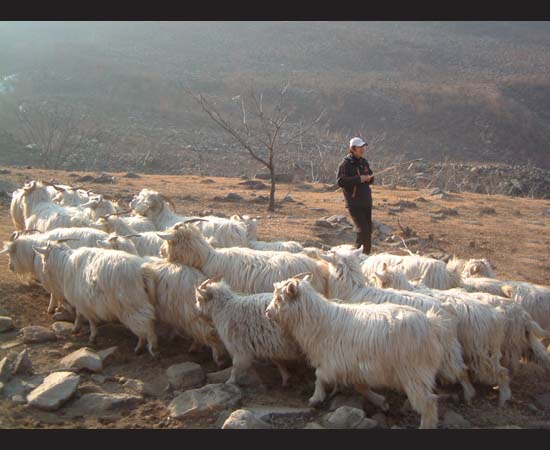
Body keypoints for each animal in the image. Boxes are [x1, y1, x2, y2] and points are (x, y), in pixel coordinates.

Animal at [265, 274, 445, 429]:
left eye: (280, 299)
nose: (267, 312)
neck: (319, 320)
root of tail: (430, 324)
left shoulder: (333, 361)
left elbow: (319, 376)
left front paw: (315, 398)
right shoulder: (355, 366)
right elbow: (361, 386)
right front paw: (381, 401)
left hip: (415, 371)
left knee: (429, 401)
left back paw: (426, 425)